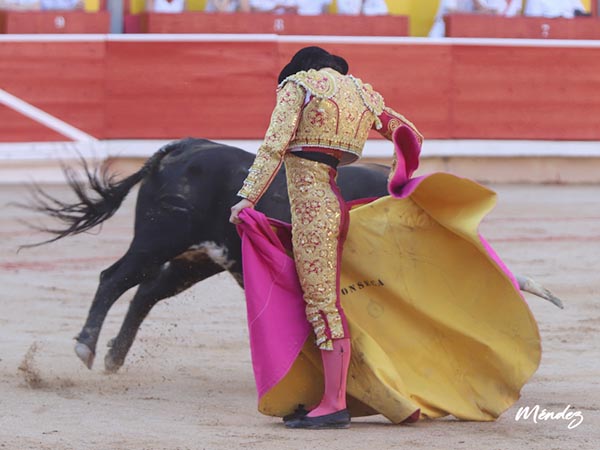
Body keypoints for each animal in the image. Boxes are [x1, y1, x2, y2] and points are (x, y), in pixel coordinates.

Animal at [23, 138, 392, 372]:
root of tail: (184, 146)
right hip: (158, 240)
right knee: (114, 278)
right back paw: (87, 346)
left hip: (196, 261)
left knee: (146, 292)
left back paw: (114, 356)